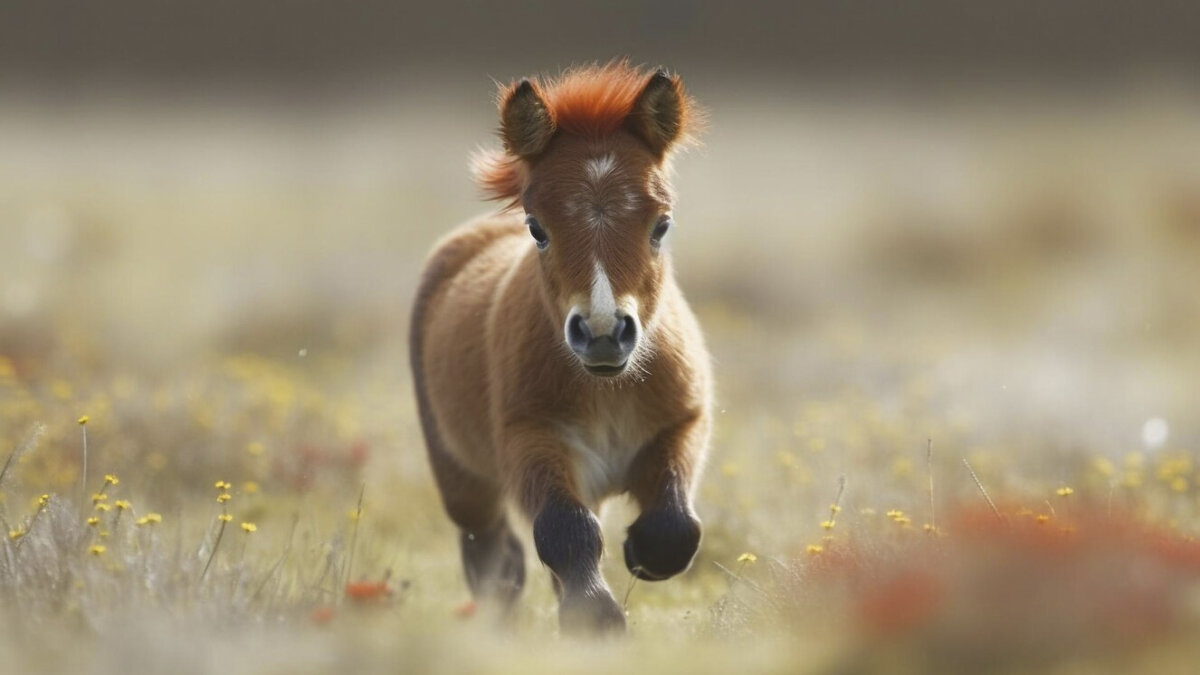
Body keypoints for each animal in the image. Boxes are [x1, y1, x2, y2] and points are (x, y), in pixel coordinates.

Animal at [409, 62, 712, 634]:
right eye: (538, 229)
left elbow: (674, 525)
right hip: (463, 481)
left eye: (661, 225)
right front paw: (595, 620)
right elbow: (565, 530)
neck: (607, 387)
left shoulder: (681, 424)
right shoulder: (530, 439)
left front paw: (639, 553)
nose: (603, 332)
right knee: (493, 558)